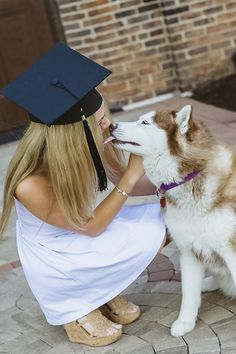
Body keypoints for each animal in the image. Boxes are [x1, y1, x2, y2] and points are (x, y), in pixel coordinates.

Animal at [109, 106, 236, 338]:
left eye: (145, 123)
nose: (111, 125)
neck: (189, 177)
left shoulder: (230, 248)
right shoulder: (188, 250)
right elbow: (188, 292)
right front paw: (185, 322)